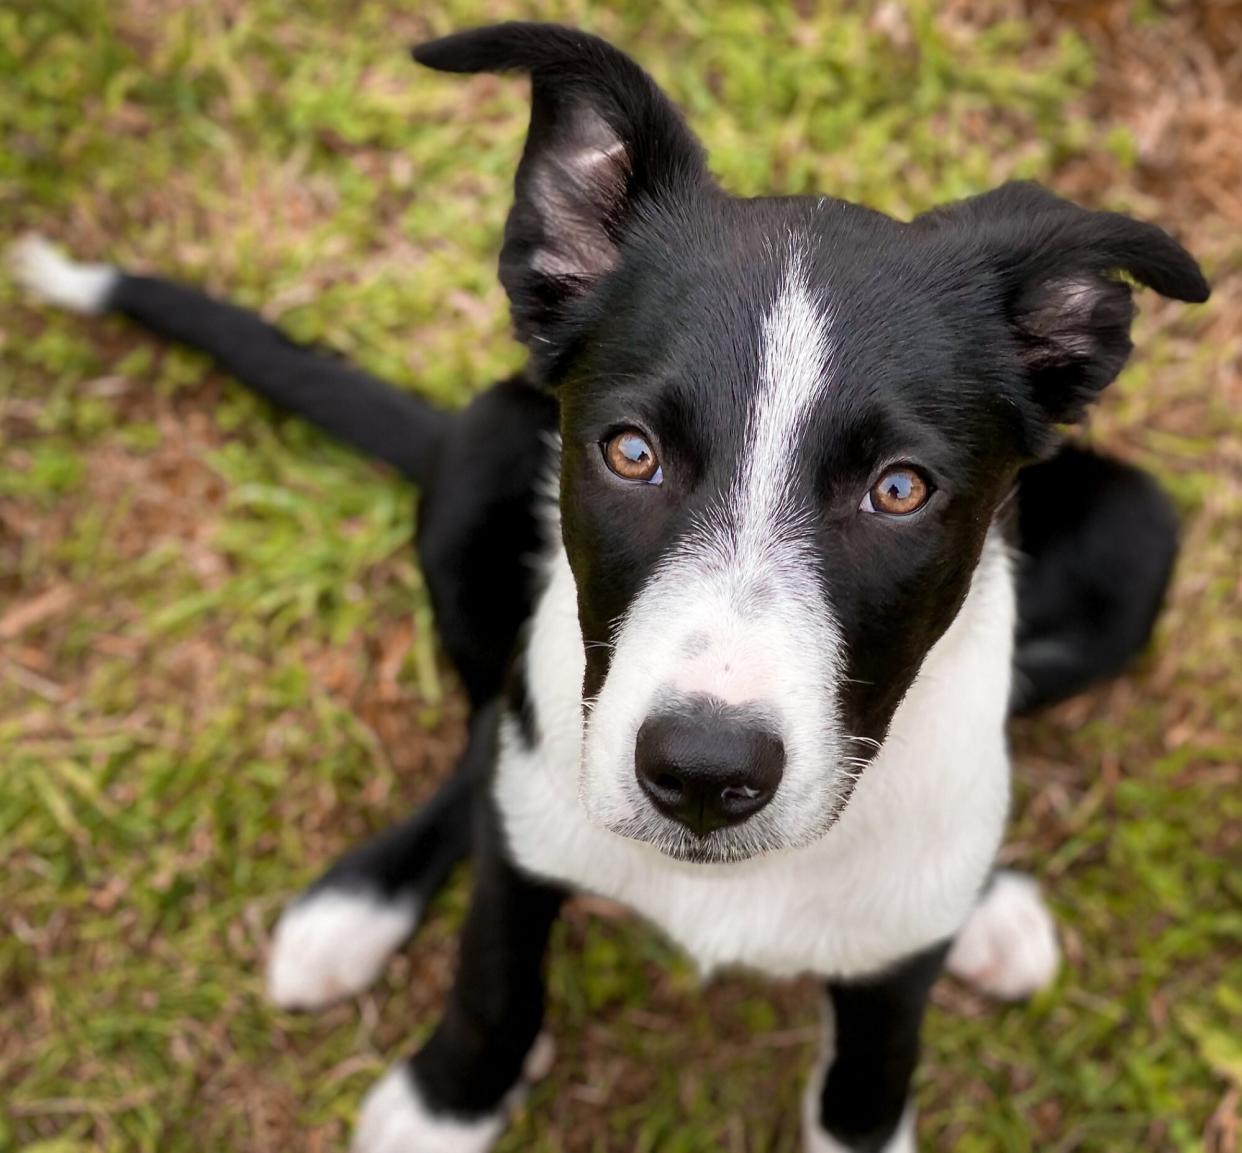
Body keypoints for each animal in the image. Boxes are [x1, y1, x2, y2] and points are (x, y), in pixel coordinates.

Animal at [14, 20, 1207, 1153]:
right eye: (631, 453)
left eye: (900, 489)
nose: (705, 774)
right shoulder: (524, 848)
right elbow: (496, 972)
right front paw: (449, 1104)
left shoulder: (889, 986)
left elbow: (867, 1088)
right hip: (481, 458)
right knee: (487, 739)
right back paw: (359, 908)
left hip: (1139, 540)